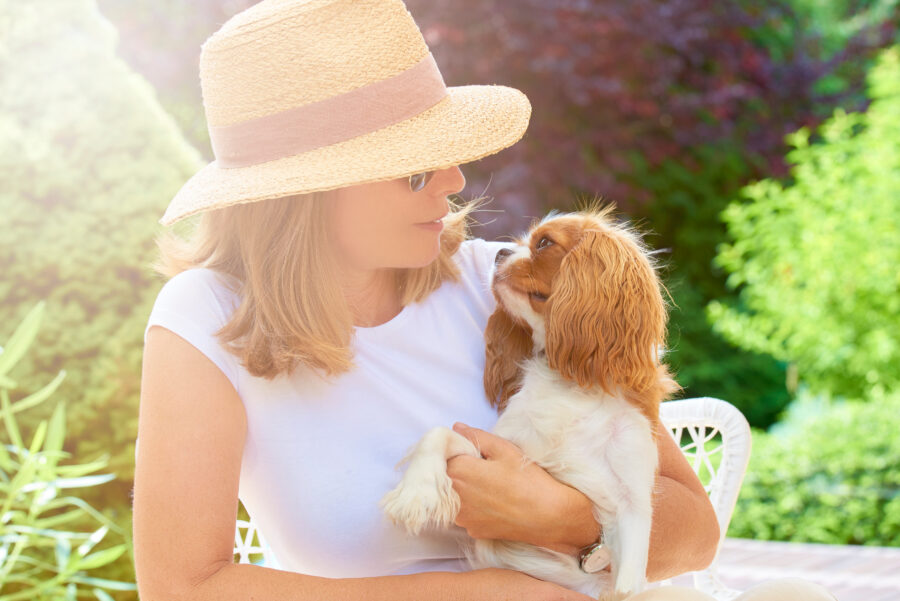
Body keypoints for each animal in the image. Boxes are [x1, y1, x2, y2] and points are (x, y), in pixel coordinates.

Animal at [376, 204, 680, 596]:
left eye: (545, 243)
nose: (500, 253)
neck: (568, 379)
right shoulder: (503, 450)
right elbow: (439, 433)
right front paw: (417, 494)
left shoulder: (632, 504)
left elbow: (626, 586)